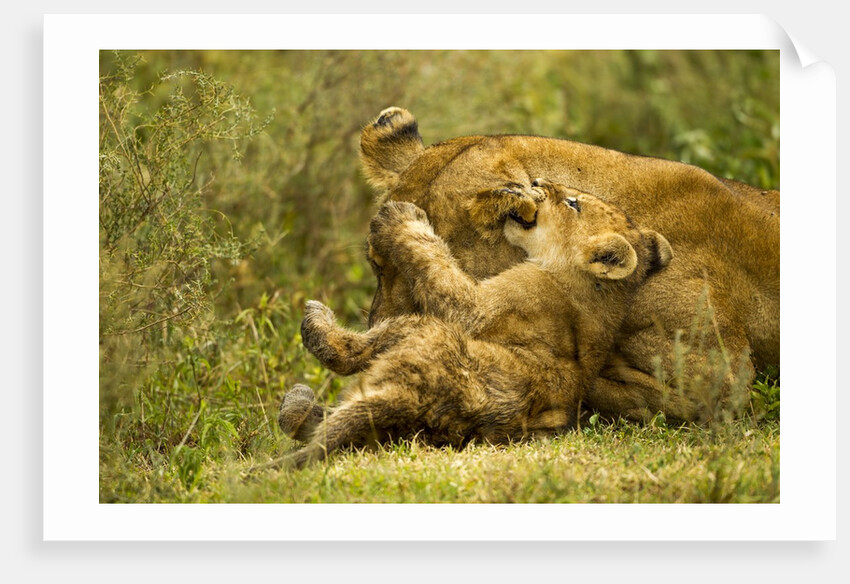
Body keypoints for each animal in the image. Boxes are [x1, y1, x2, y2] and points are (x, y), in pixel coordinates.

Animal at [276, 181, 673, 468]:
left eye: (573, 203)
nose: (536, 181)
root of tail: (414, 399)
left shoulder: (479, 309)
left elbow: (433, 257)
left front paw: (401, 217)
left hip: (427, 330)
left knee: (346, 355)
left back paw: (314, 324)